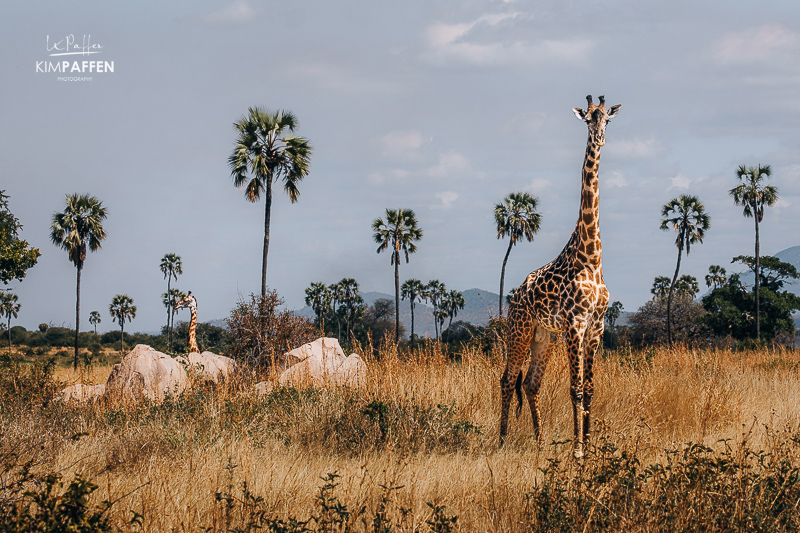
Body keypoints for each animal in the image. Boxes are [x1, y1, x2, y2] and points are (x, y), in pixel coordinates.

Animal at [499, 95, 621, 459]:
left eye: (608, 119)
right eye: (588, 119)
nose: (599, 138)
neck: (592, 257)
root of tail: (516, 294)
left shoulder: (596, 326)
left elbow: (590, 388)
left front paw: (589, 448)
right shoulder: (574, 324)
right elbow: (575, 388)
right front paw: (577, 451)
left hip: (544, 336)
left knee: (530, 383)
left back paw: (540, 443)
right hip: (521, 328)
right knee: (508, 379)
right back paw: (501, 440)